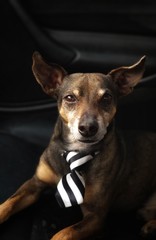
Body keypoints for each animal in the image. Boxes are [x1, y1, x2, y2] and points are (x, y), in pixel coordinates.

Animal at [0, 51, 156, 239]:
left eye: (106, 98)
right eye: (70, 98)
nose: (88, 127)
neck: (76, 150)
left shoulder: (95, 216)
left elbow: (63, 234)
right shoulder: (34, 184)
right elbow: (8, 204)